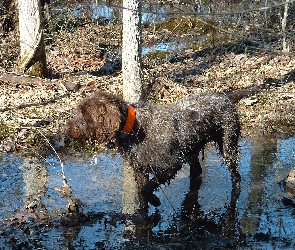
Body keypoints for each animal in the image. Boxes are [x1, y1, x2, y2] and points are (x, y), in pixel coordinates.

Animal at [67, 90, 243, 211]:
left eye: (85, 115)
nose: (67, 128)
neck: (134, 129)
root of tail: (226, 97)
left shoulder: (171, 165)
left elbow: (146, 189)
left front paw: (155, 200)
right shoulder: (139, 169)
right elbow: (142, 191)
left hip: (228, 146)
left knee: (236, 176)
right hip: (190, 148)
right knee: (197, 171)